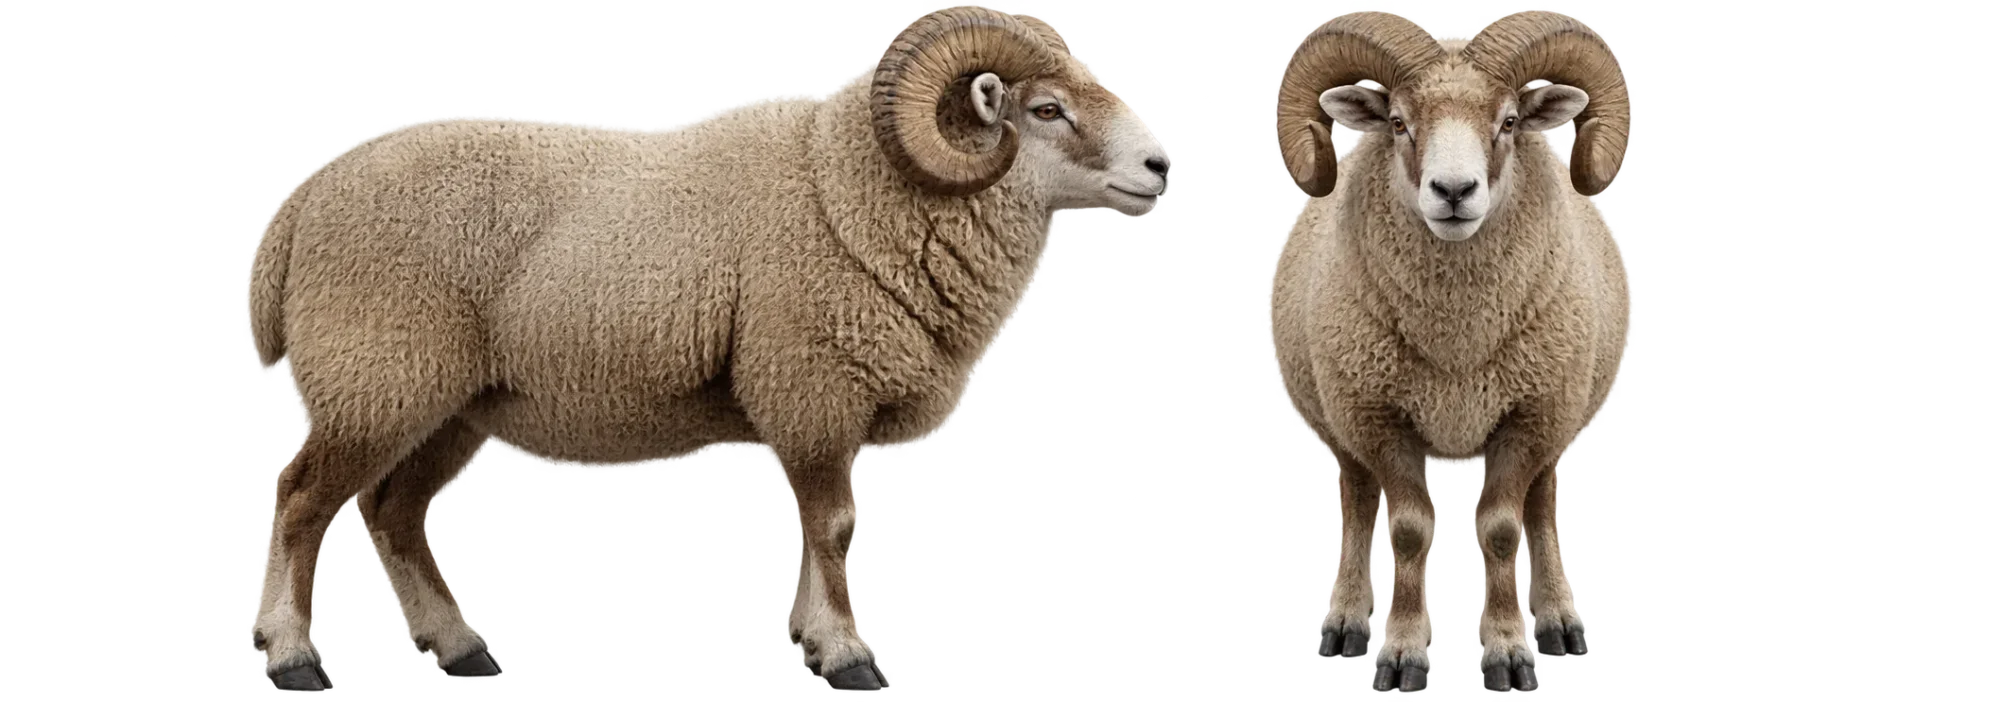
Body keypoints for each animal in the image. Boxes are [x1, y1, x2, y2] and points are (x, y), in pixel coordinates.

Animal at [241, 1, 1171, 692]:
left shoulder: (808, 408)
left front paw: (813, 641)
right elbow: (835, 525)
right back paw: (290, 655)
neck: (853, 188)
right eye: (1045, 110)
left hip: (448, 405)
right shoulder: (810, 382)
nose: (1161, 169)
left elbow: (815, 527)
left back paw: (459, 648)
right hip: (376, 374)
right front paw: (849, 657)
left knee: (392, 512)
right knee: (302, 501)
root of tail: (303, 204)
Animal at [1264, 8, 1633, 694]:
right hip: (1337, 421)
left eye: (1509, 121)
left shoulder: (1529, 417)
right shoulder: (1379, 419)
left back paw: (1560, 625)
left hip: (1559, 417)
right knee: (1358, 503)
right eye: (1398, 122)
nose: (1454, 191)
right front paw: (1402, 655)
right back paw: (1346, 624)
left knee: (1541, 508)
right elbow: (1408, 533)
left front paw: (1510, 654)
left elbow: (1503, 529)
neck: (1457, 348)